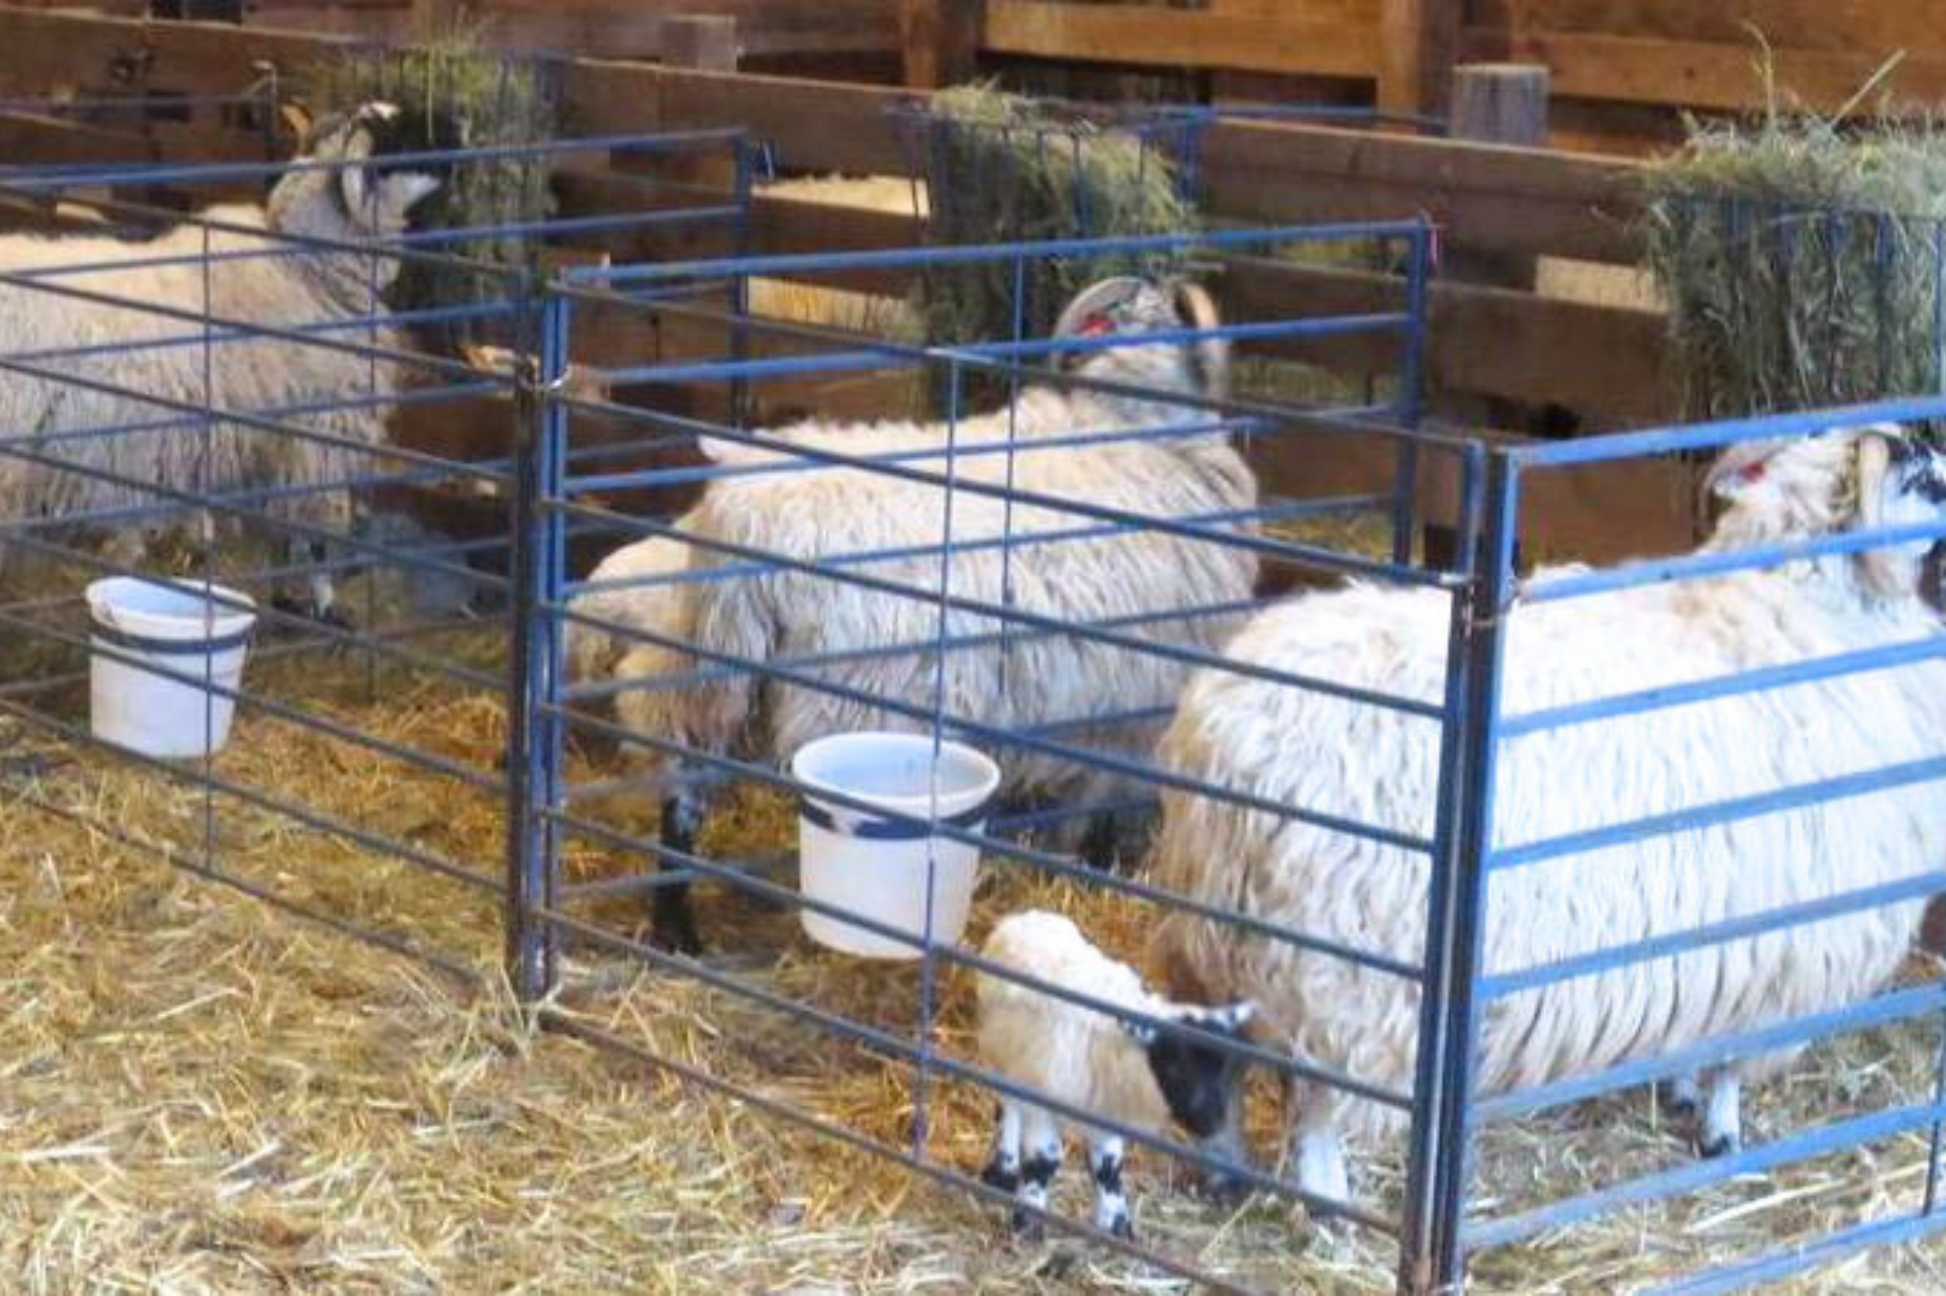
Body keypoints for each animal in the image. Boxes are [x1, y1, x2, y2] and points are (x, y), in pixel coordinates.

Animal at [0, 101, 448, 625]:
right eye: (401, 137)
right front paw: (326, 608)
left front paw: (286, 598)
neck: (301, 267)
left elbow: (277, 535)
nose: (460, 137)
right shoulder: (314, 436)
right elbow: (316, 538)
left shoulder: (266, 446)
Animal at [589, 274, 1256, 952]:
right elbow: (1095, 812)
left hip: (703, 666)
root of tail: (749, 517)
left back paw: (675, 926)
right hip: (857, 700)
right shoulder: (1127, 712)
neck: (1133, 423)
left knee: (683, 784)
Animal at [975, 908, 1254, 1239]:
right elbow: (1045, 1160)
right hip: (1004, 1059)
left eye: (1221, 1069)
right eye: (1173, 1067)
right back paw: (1003, 1169)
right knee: (1009, 1108)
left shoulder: (1107, 1112)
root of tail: (1026, 916)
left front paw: (1117, 1225)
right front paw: (1027, 1223)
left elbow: (1107, 1167)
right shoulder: (1044, 1098)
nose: (1212, 1121)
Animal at [1144, 423, 1946, 1207]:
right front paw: (1720, 1132)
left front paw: (1683, 1092)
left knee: (1206, 1059)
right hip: (1346, 969)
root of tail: (1226, 740)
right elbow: (1729, 1064)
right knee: (1315, 1098)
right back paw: (1325, 1198)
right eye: (1926, 479)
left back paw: (1223, 1169)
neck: (1813, 609)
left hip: (1217, 933)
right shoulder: (1791, 942)